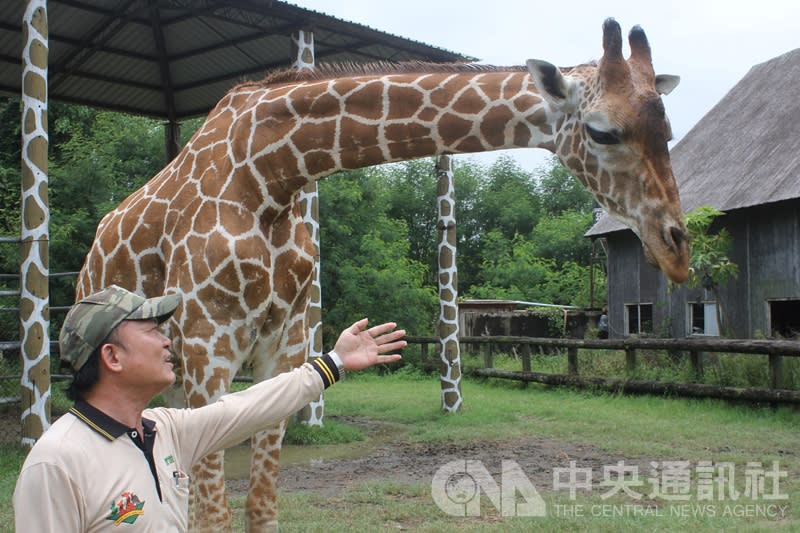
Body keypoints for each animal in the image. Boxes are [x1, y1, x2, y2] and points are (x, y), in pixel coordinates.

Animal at [76, 18, 688, 528]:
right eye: (603, 131)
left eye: (669, 130)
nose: (676, 248)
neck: (272, 172)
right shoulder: (210, 345)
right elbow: (215, 514)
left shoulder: (284, 344)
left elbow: (261, 504)